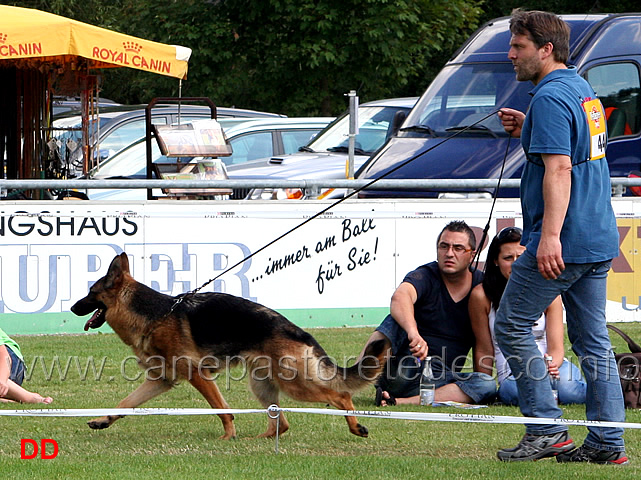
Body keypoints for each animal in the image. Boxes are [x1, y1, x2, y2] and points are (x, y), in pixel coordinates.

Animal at [70, 255, 384, 438]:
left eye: (90, 293)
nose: (72, 308)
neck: (155, 314)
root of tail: (298, 330)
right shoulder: (161, 380)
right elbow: (126, 403)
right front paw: (103, 420)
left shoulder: (198, 375)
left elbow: (222, 409)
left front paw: (228, 436)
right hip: (263, 385)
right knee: (281, 423)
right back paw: (259, 441)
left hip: (295, 383)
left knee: (339, 395)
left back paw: (355, 426)